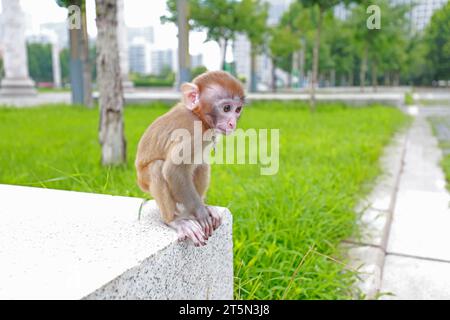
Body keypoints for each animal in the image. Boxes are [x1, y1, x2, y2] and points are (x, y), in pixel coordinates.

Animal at [135, 70, 244, 245]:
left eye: (238, 109)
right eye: (227, 108)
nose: (232, 123)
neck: (198, 115)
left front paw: (204, 209)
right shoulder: (195, 132)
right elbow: (173, 170)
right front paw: (201, 213)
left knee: (201, 164)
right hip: (144, 181)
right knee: (157, 167)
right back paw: (174, 220)